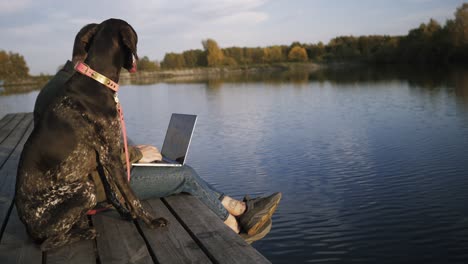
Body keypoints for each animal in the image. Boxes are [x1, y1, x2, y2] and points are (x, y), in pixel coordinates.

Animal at [15, 18, 167, 252]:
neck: (98, 80)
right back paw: (85, 232)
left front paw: (126, 214)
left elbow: (114, 193)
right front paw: (150, 220)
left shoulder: (103, 159)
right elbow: (131, 195)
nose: (135, 63)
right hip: (85, 188)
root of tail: (28, 228)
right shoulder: (111, 155)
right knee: (48, 243)